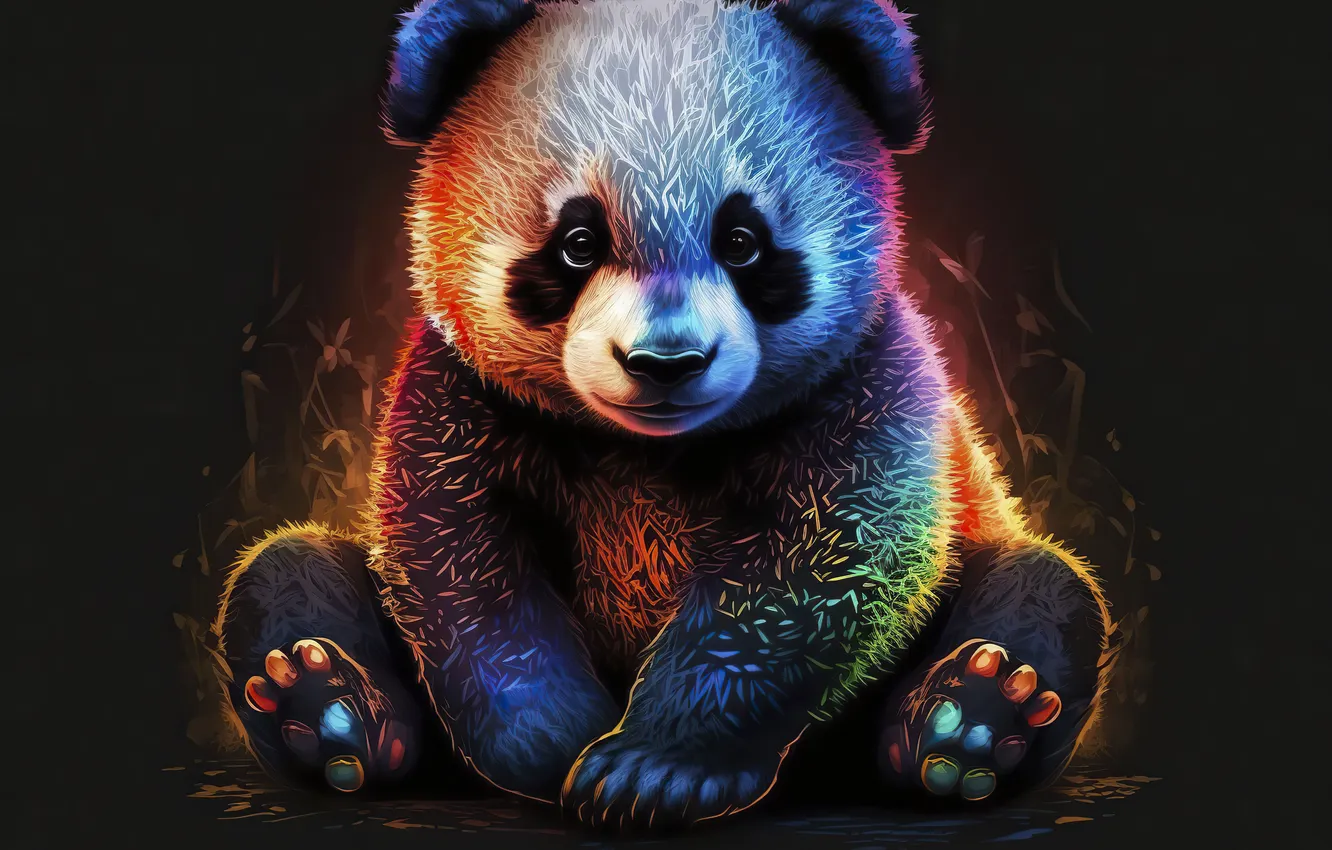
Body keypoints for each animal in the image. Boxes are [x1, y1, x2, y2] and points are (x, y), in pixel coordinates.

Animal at [211, 0, 1115, 832]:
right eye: (577, 241)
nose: (665, 363)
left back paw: (970, 721)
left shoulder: (866, 383)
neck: (650, 449)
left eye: (742, 240)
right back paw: (326, 709)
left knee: (1043, 589)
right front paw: (553, 748)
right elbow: (461, 563)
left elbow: (824, 566)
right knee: (287, 568)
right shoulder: (463, 395)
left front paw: (653, 771)